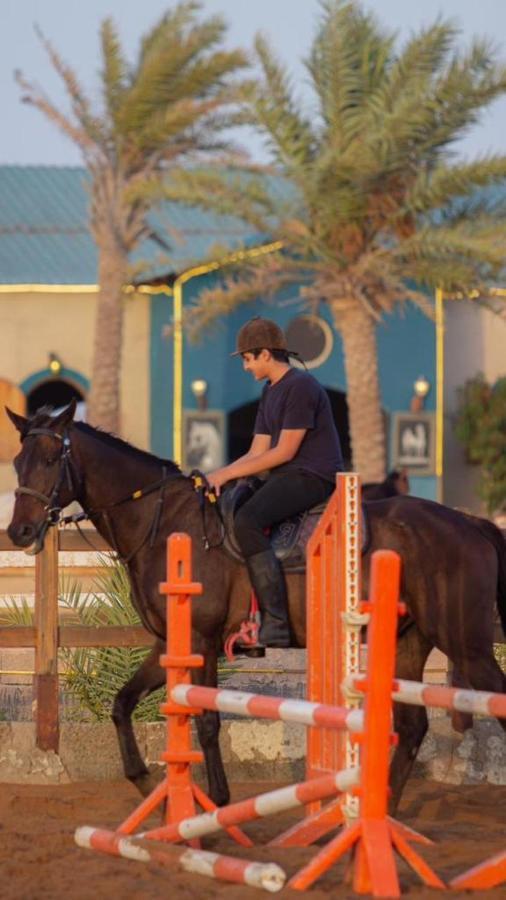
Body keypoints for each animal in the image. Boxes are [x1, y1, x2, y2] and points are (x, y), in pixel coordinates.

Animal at [4, 404, 506, 812]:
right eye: (18, 462)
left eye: (50, 460)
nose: (20, 532)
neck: (166, 525)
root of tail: (471, 524)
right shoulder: (170, 642)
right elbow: (123, 704)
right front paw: (147, 784)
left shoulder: (203, 640)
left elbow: (207, 721)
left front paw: (217, 802)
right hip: (411, 641)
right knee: (414, 727)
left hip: (466, 643)